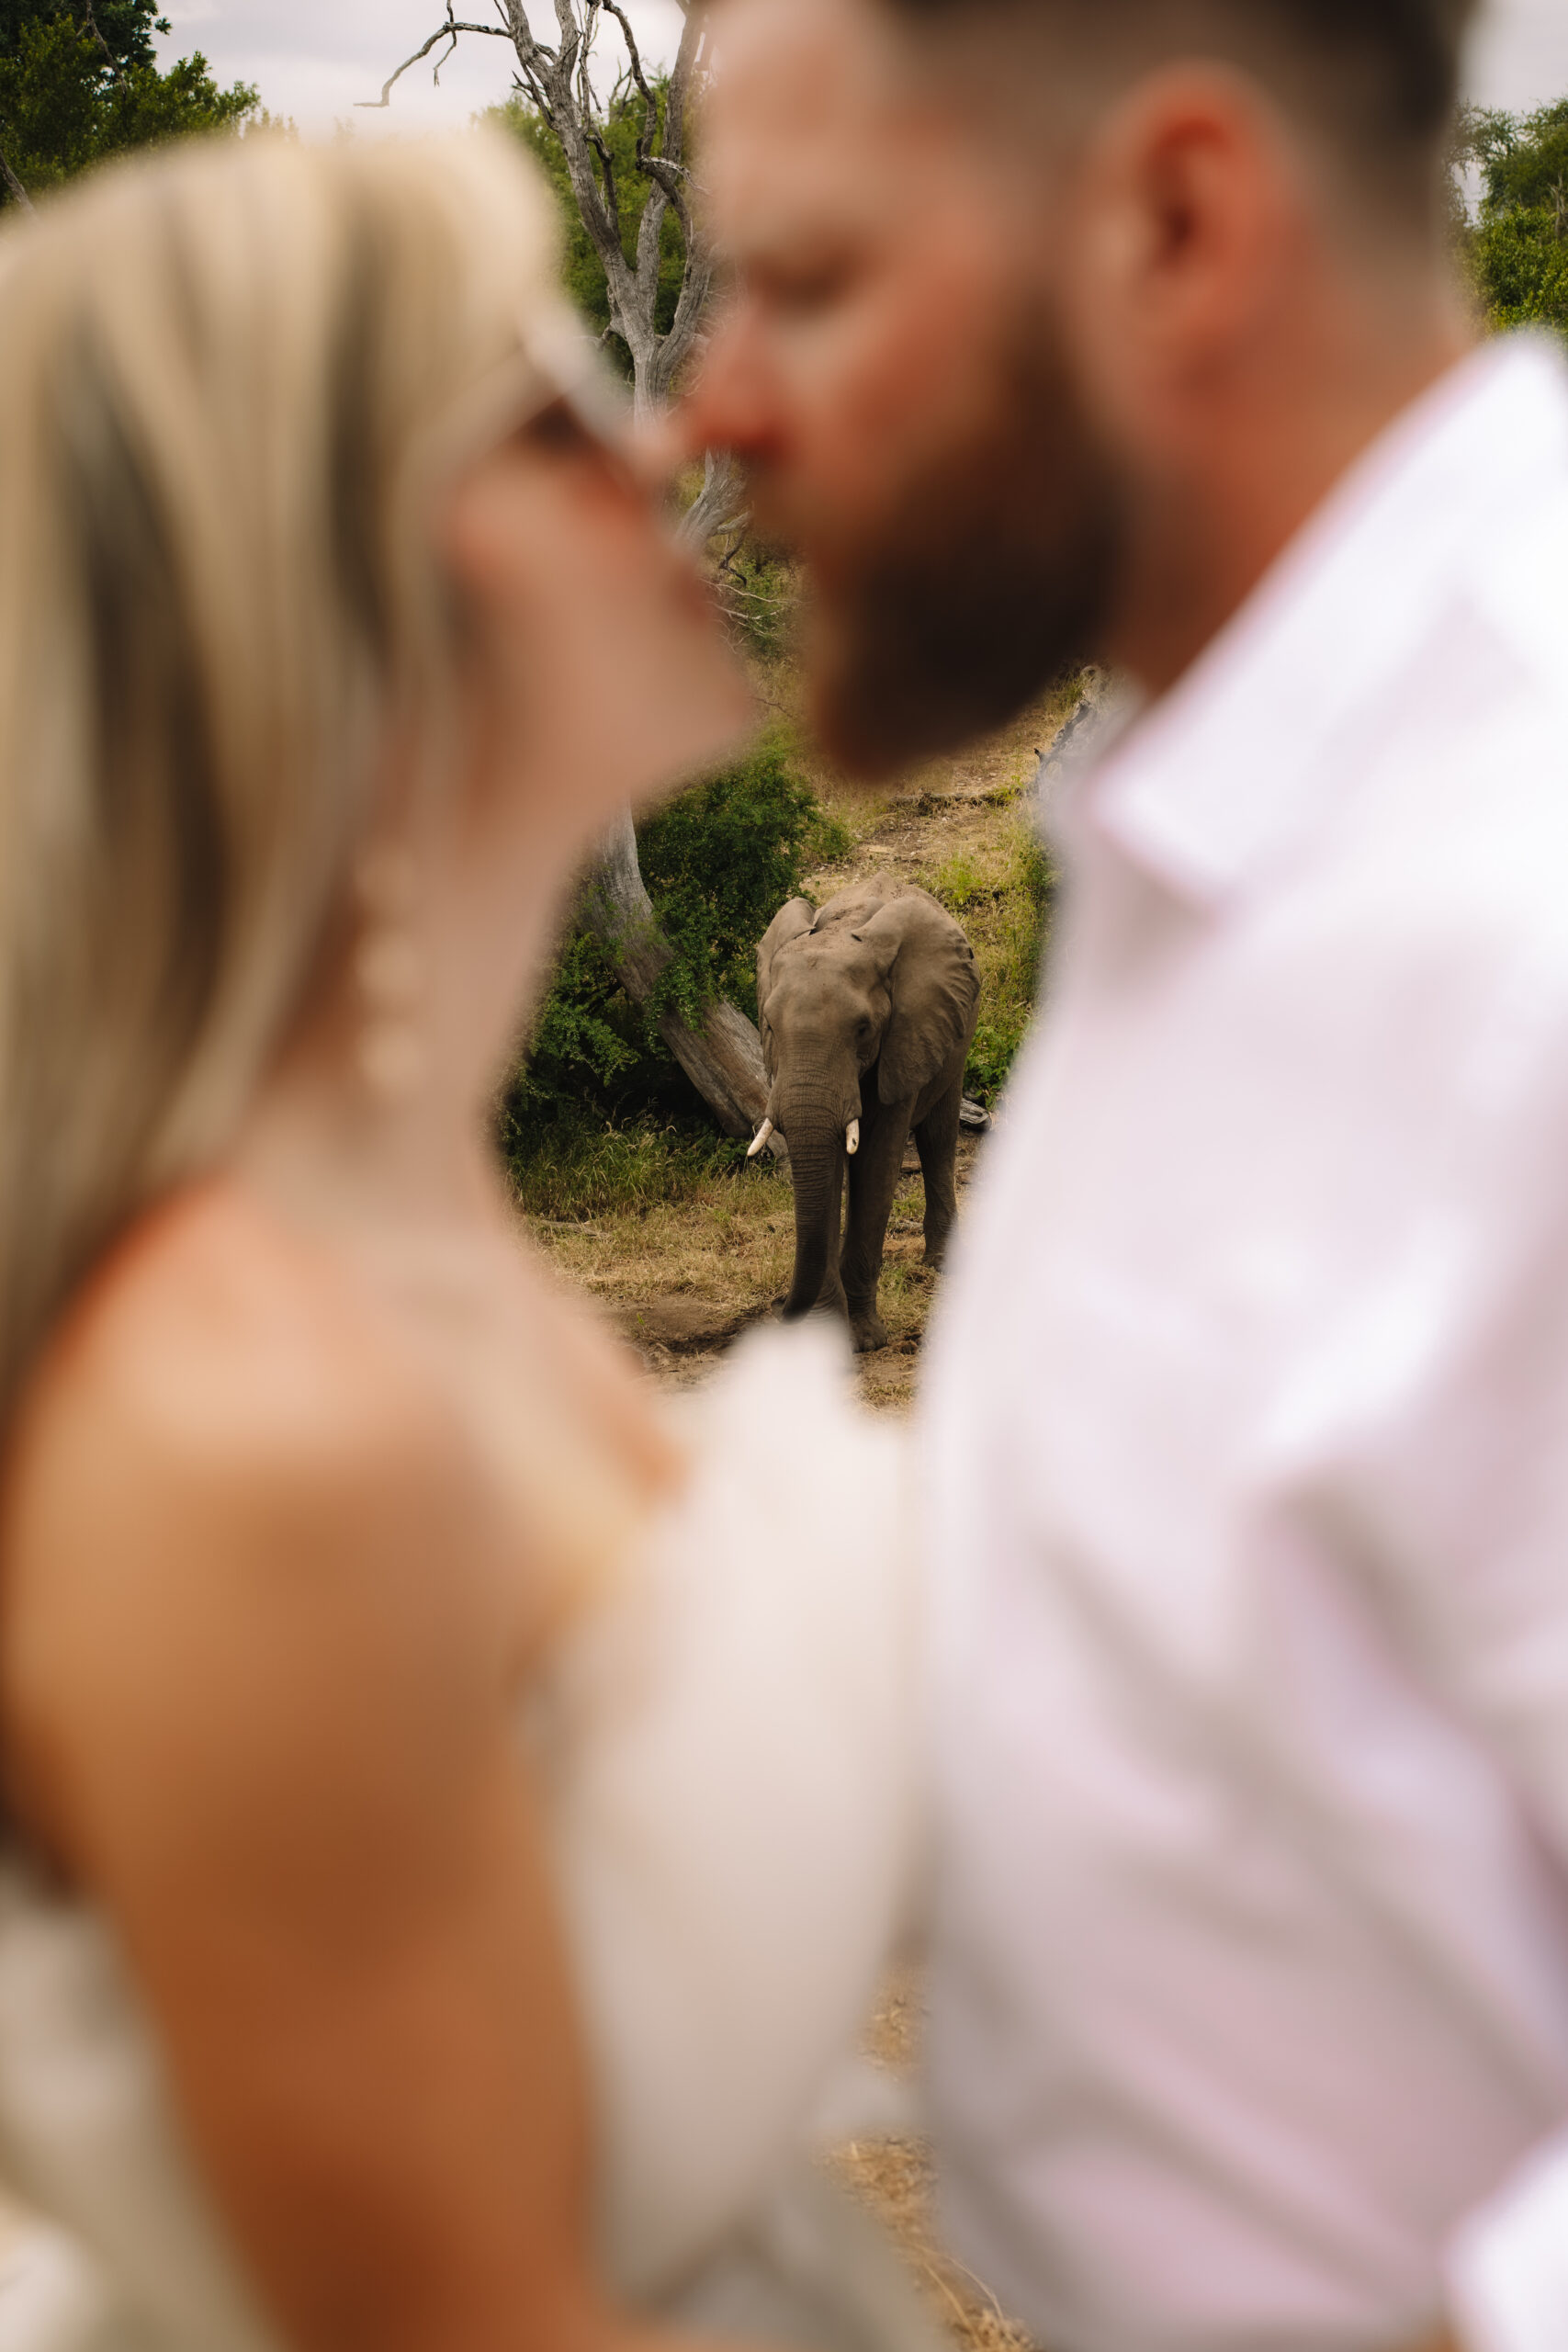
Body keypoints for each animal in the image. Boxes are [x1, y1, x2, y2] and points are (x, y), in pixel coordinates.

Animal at [752, 881, 981, 1354]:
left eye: (862, 1029)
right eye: (769, 1026)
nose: (782, 1315)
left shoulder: (903, 1037)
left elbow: (876, 1160)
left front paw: (864, 1340)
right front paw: (825, 1337)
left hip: (955, 1034)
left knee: (938, 1137)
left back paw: (942, 1266)